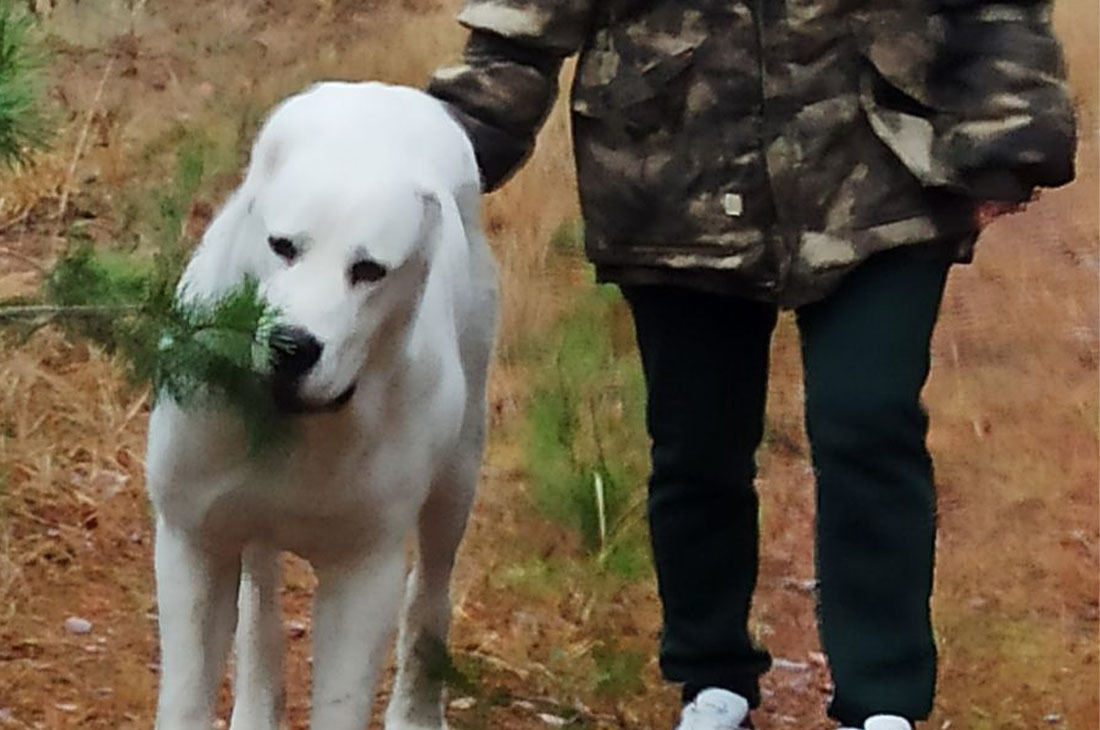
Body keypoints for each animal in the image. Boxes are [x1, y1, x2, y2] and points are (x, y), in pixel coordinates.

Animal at [144, 81, 497, 729]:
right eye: (282, 246)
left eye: (369, 270)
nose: (293, 346)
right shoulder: (193, 544)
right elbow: (185, 700)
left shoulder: (363, 578)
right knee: (261, 601)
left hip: (457, 479)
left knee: (430, 595)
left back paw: (415, 711)